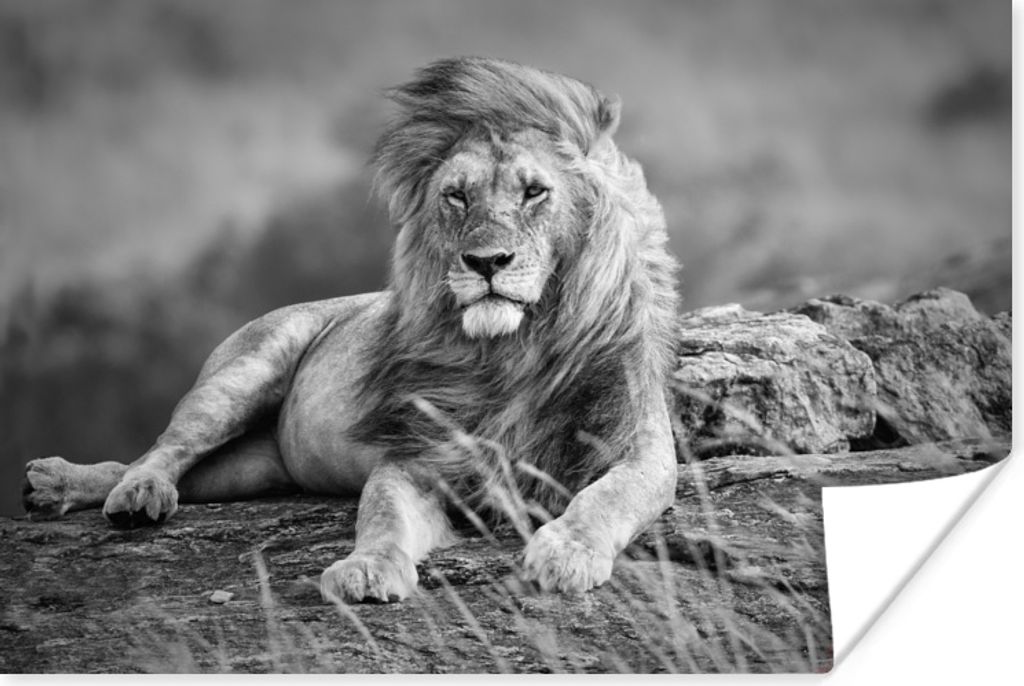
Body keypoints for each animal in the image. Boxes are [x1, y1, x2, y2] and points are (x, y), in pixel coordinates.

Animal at [22, 57, 680, 602]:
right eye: (456, 197)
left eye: (535, 191)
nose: (486, 262)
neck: (513, 350)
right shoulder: (416, 456)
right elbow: (381, 513)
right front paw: (367, 569)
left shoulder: (640, 448)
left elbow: (608, 496)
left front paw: (567, 552)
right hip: (242, 373)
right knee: (162, 450)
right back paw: (120, 492)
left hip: (251, 468)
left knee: (169, 468)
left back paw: (60, 486)